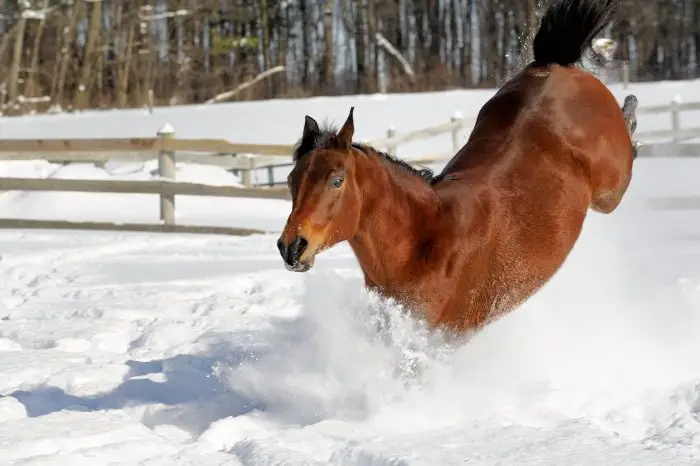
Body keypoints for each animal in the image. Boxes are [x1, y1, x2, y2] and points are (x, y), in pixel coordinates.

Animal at [276, 0, 636, 334]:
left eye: (336, 180)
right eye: (291, 181)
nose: (291, 247)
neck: (425, 240)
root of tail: (553, 63)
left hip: (609, 191)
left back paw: (631, 110)